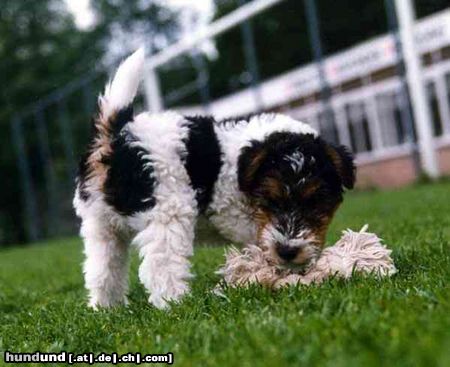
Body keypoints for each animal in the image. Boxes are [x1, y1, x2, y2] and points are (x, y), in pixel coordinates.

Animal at [74, 47, 356, 310]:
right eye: (271, 200)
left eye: (314, 202)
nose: (287, 251)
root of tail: (114, 137)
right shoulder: (234, 215)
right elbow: (259, 240)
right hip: (167, 211)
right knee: (161, 265)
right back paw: (177, 304)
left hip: (100, 225)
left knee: (102, 269)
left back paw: (107, 308)